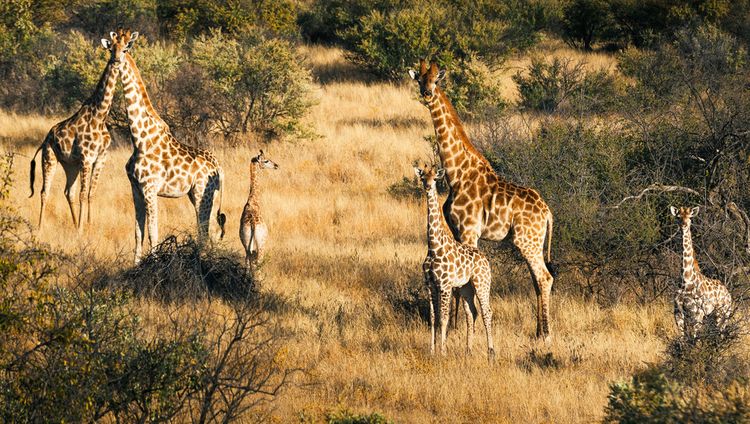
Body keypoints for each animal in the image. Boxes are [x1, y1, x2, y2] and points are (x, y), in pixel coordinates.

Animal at [28, 30, 127, 232]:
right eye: (111, 48)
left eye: (125, 49)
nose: (116, 60)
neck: (100, 115)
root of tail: (45, 139)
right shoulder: (86, 158)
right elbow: (83, 194)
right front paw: (82, 230)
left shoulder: (100, 158)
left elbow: (90, 193)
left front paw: (87, 225)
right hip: (49, 158)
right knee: (44, 191)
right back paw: (40, 228)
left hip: (70, 164)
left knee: (68, 192)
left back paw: (73, 223)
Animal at [117, 29, 226, 262]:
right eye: (110, 47)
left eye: (125, 48)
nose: (115, 60)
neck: (139, 139)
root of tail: (218, 167)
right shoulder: (135, 188)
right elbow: (138, 232)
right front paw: (136, 264)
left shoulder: (150, 188)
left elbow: (153, 231)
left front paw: (154, 262)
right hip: (205, 195)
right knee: (210, 230)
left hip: (202, 193)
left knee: (204, 230)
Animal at [412, 58, 560, 340]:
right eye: (420, 80)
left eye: (436, 80)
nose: (426, 94)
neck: (456, 172)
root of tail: (547, 212)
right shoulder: (457, 230)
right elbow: (458, 280)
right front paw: (456, 328)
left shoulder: (470, 230)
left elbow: (462, 283)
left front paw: (461, 329)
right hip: (532, 242)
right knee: (537, 279)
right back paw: (538, 331)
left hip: (527, 241)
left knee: (545, 277)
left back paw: (546, 333)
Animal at [418, 164, 500, 360]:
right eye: (423, 177)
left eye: (435, 178)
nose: (427, 186)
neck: (433, 246)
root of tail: (485, 259)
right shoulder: (430, 284)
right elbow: (433, 317)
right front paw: (432, 351)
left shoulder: (445, 285)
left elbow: (444, 318)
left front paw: (443, 352)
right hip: (466, 287)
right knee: (472, 312)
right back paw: (468, 350)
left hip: (482, 282)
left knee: (487, 311)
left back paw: (491, 352)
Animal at [668, 207, 736, 340]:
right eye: (678, 217)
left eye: (690, 217)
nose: (683, 225)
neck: (686, 280)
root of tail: (728, 293)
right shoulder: (678, 312)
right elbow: (683, 339)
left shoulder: (697, 313)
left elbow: (694, 338)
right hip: (713, 315)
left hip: (723, 313)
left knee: (720, 334)